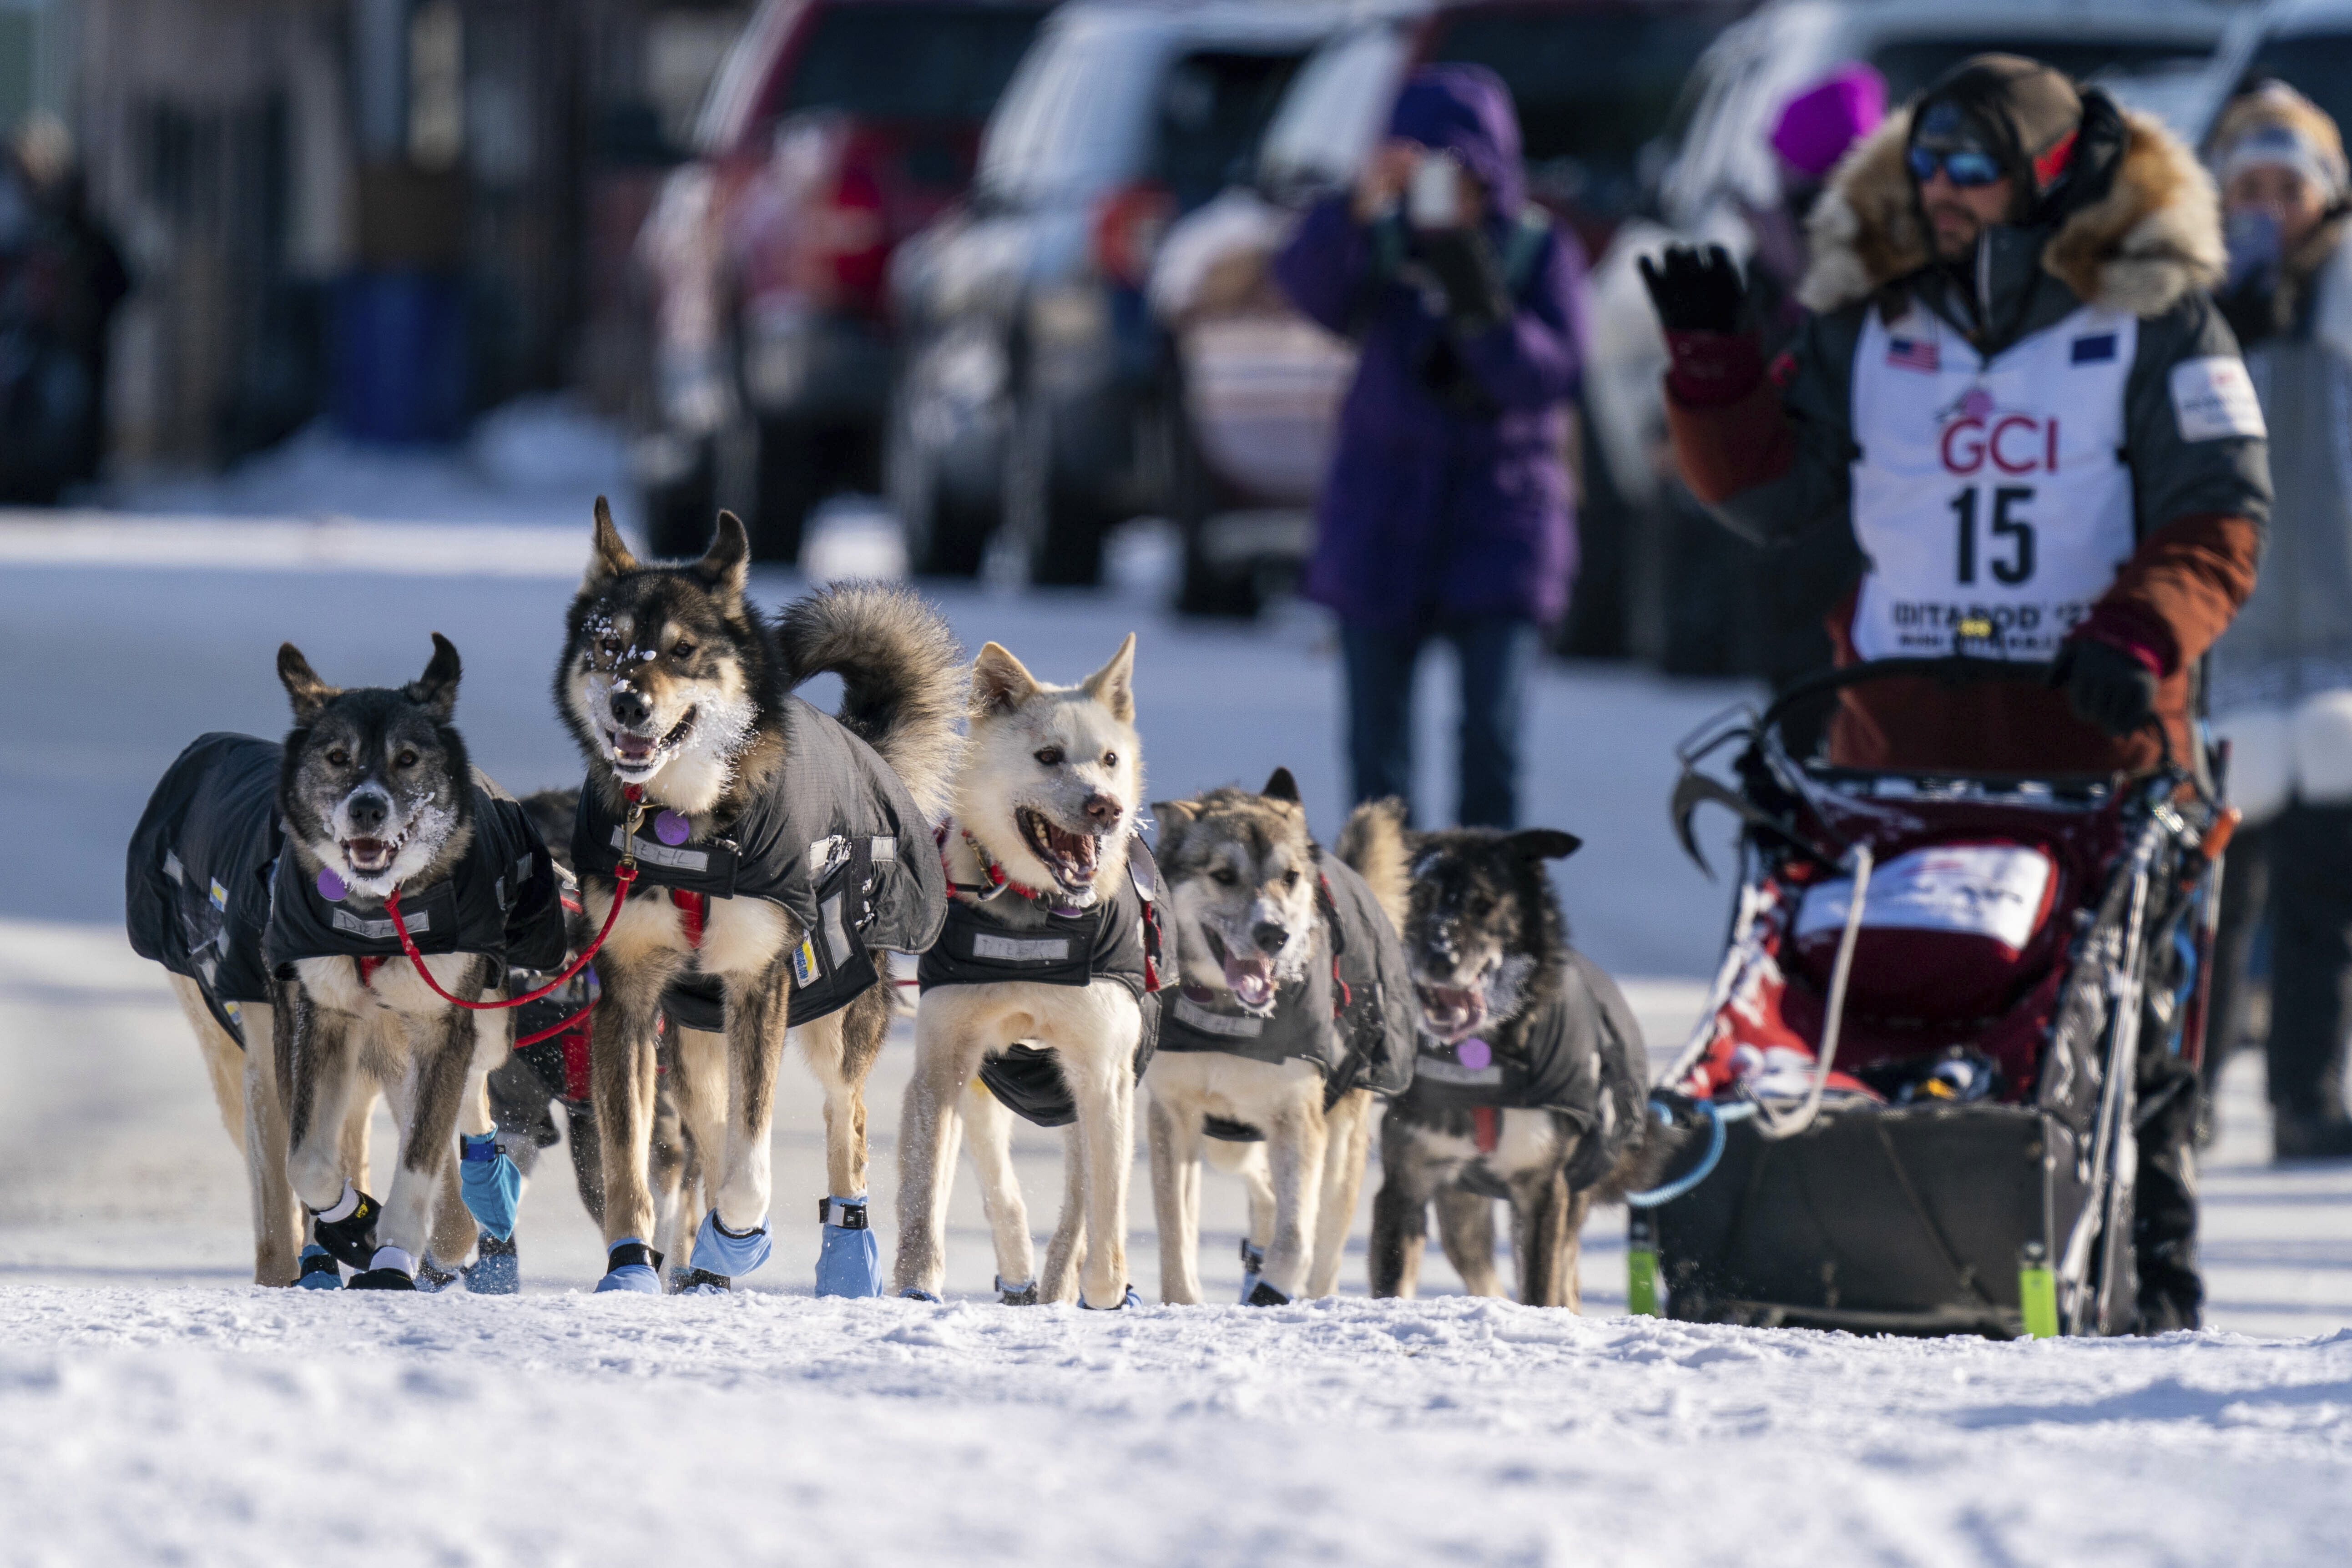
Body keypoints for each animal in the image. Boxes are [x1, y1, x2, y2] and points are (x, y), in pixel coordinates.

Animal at [555, 505, 959, 1297]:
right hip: (693, 1035)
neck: (682, 820)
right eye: (609, 642)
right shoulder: (627, 997)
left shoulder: (758, 980)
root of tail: (867, 748)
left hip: (832, 1014)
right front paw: (630, 1265)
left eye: (682, 650)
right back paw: (703, 1266)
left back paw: (842, 1261)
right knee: (713, 1136)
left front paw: (738, 1239)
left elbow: (751, 1170)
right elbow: (632, 1160)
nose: (627, 700)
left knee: (844, 1123)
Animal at [889, 639, 1166, 1316]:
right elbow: (924, 1202)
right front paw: (916, 1288)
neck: (1035, 919)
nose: (1106, 807)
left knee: (1080, 1209)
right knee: (1003, 1192)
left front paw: (1105, 1292)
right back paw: (1020, 1278)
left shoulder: (1101, 1077)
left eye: (1110, 758)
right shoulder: (942, 1065)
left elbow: (1103, 1216)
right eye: (1047, 756)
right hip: (984, 1090)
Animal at [1143, 771, 1411, 1297]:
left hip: (1337, 1145)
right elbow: (1175, 1235)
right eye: (1224, 875)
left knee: (1321, 1242)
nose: (1275, 935)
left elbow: (1296, 1238)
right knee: (1263, 1190)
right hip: (1230, 1142)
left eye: (1289, 877)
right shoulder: (1172, 1115)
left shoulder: (1298, 1120)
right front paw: (1183, 1300)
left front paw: (1275, 1290)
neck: (1229, 1020)